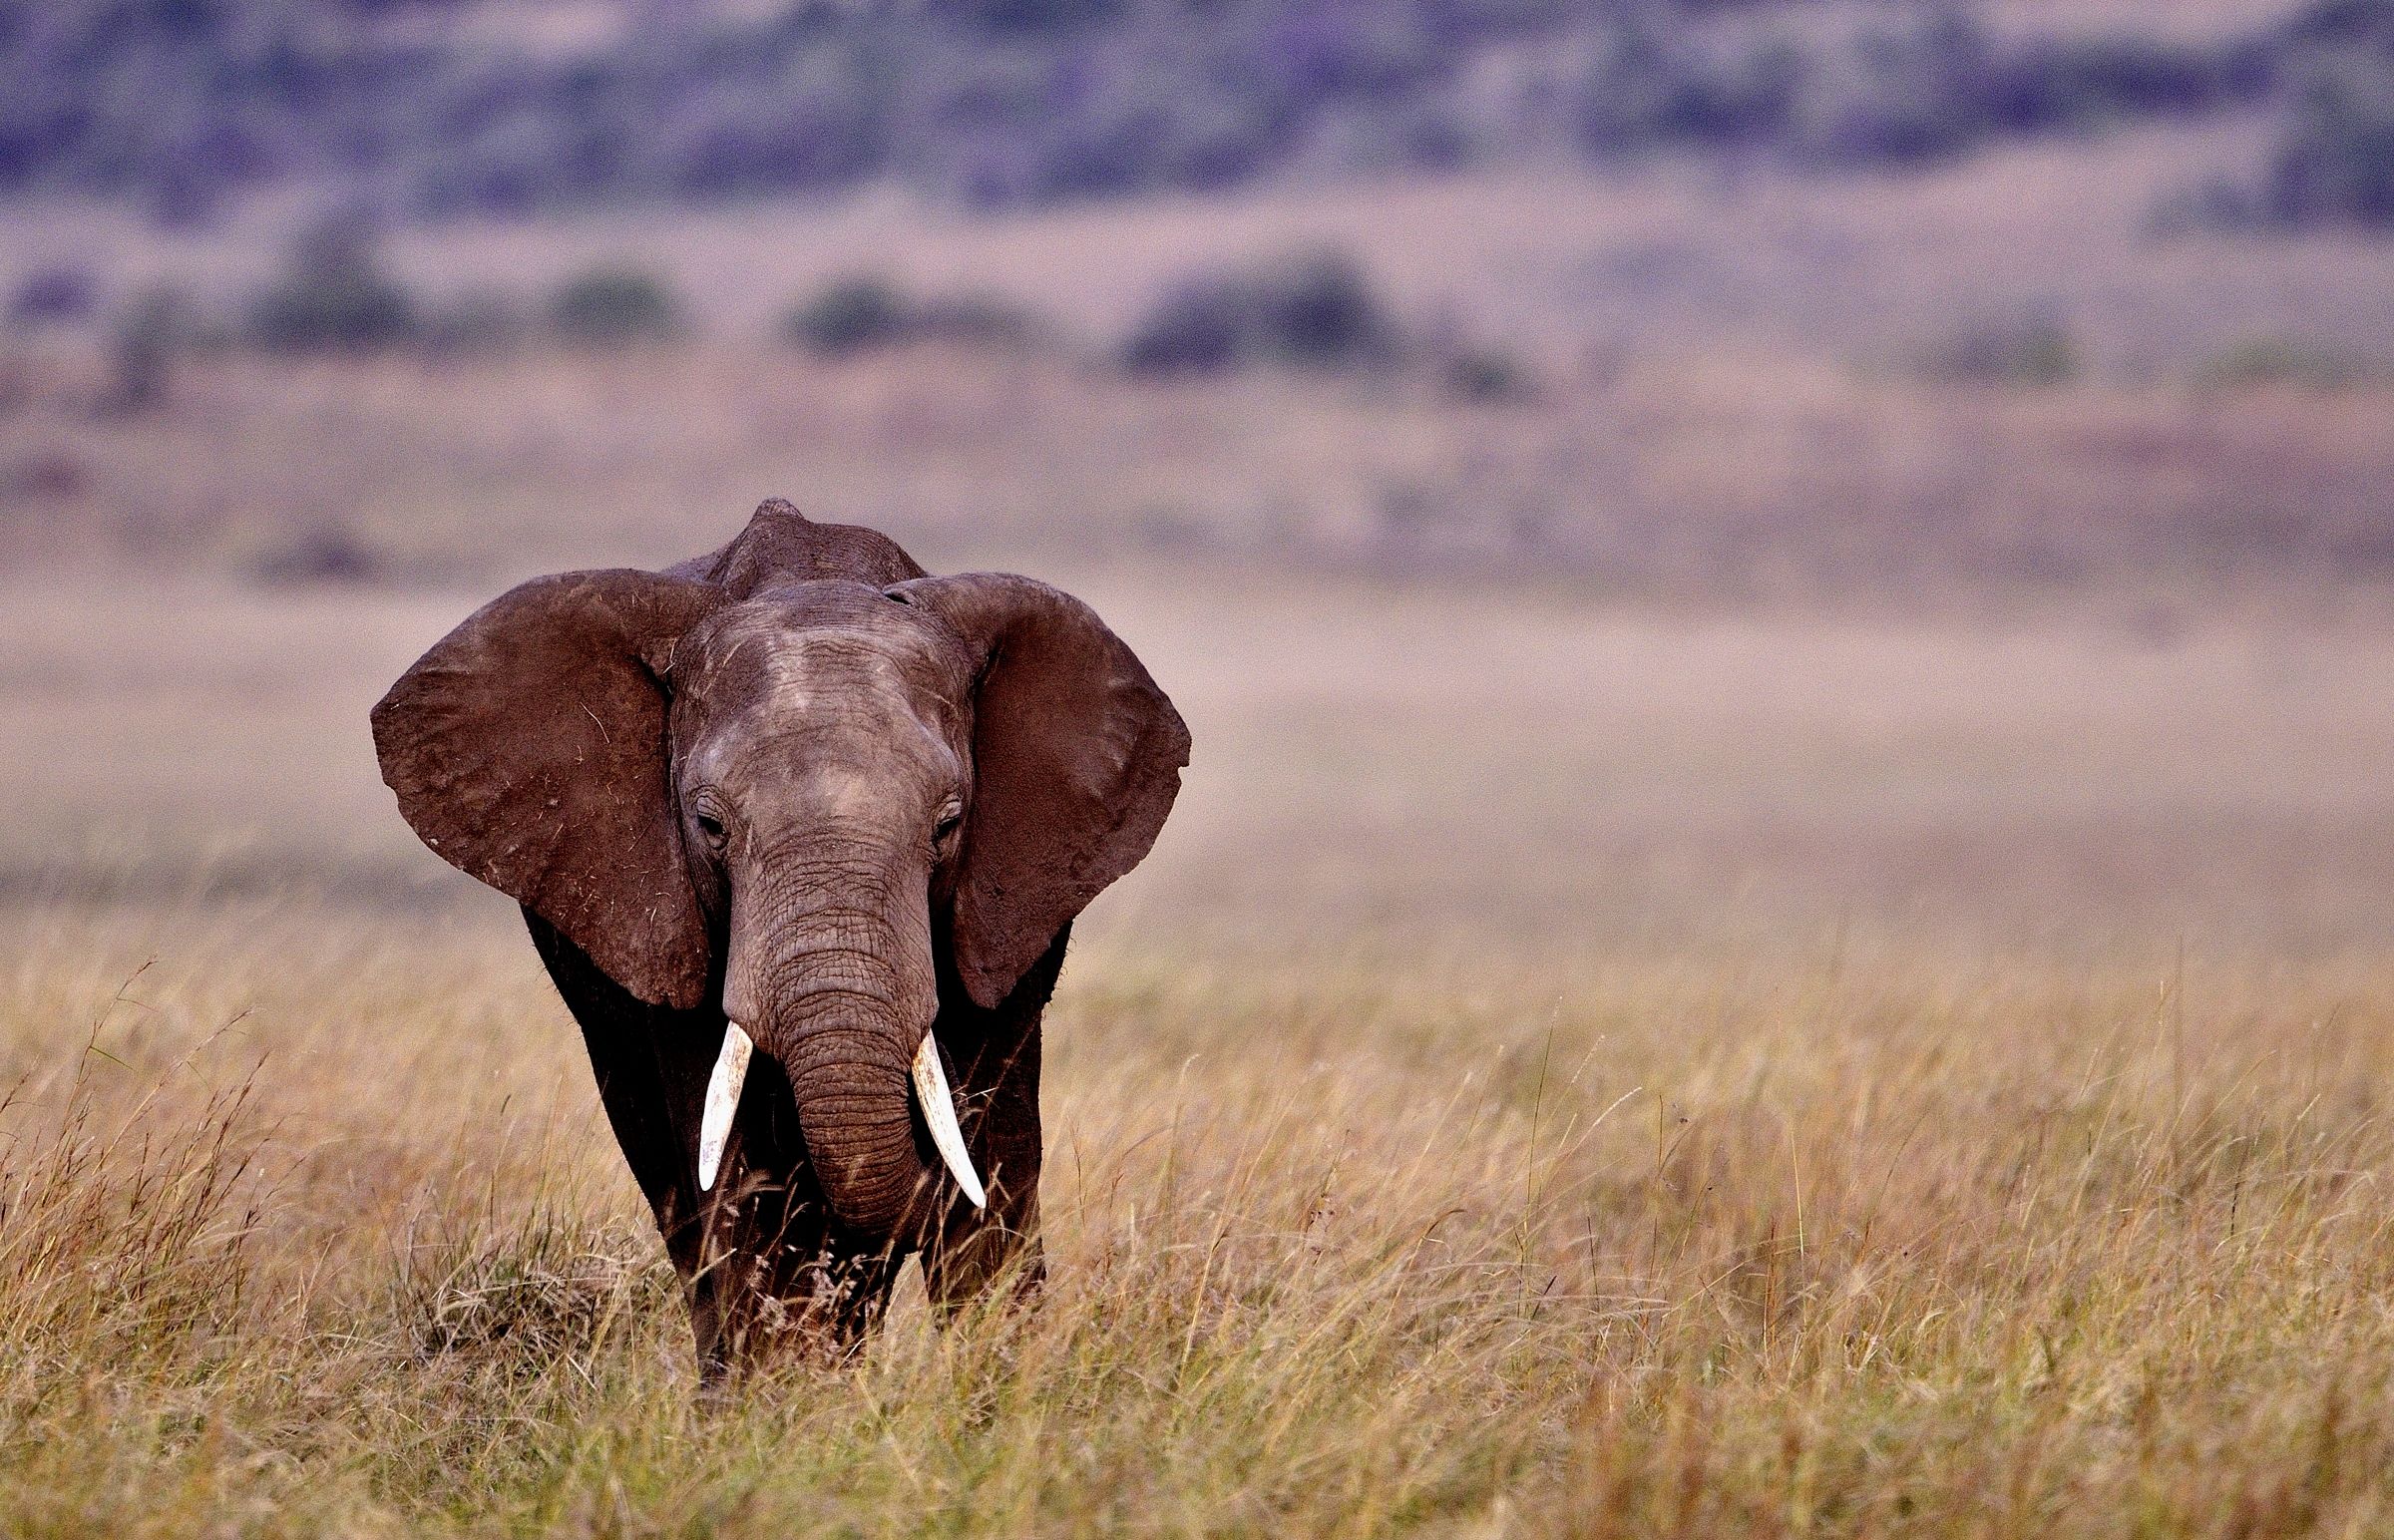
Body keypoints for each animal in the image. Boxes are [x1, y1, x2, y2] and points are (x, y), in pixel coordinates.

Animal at [370, 499, 1189, 1376]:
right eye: (709, 826)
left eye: (949, 826)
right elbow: (742, 1174)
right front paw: (786, 1392)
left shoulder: (1009, 919)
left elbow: (989, 1152)